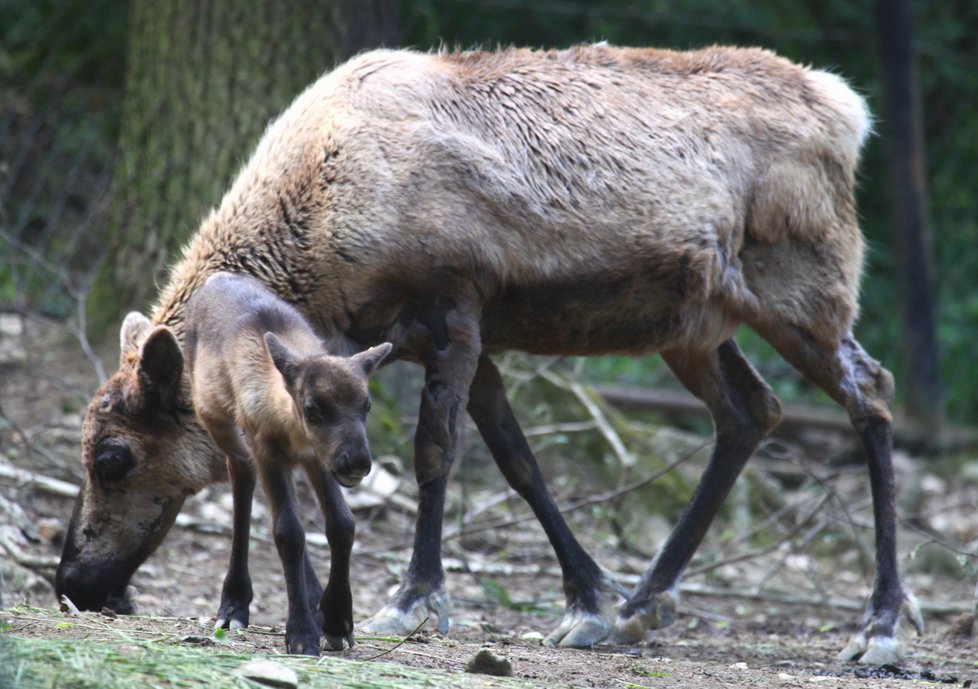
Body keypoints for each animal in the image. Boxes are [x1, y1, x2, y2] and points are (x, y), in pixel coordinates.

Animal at [185, 272, 390, 652]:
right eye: (313, 407)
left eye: (366, 405)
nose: (356, 462)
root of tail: (217, 276)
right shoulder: (266, 448)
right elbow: (288, 532)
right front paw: (301, 633)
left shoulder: (317, 459)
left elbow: (342, 524)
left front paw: (337, 620)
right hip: (215, 418)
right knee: (242, 474)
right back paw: (234, 605)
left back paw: (314, 602)